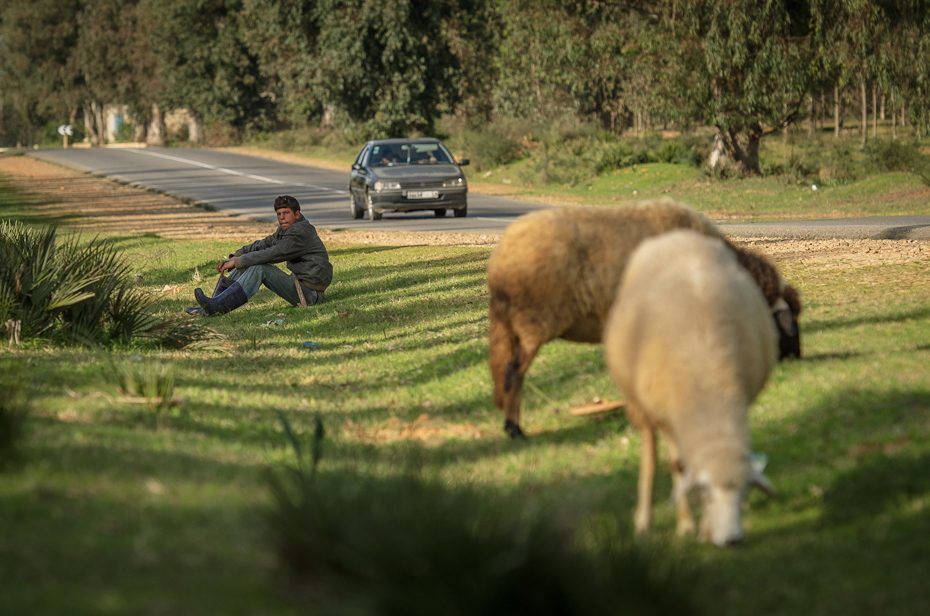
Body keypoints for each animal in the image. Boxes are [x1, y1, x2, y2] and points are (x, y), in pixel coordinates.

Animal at [486, 199, 796, 438]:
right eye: (784, 321)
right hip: (533, 321)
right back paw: (514, 429)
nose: (796, 358)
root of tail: (498, 267)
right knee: (514, 372)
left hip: (514, 326)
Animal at [600, 230, 776, 544]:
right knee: (651, 453)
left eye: (745, 490)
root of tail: (674, 235)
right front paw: (687, 524)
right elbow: (679, 466)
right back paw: (644, 519)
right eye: (705, 490)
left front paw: (706, 527)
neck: (708, 385)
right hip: (640, 405)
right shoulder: (667, 414)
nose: (732, 540)